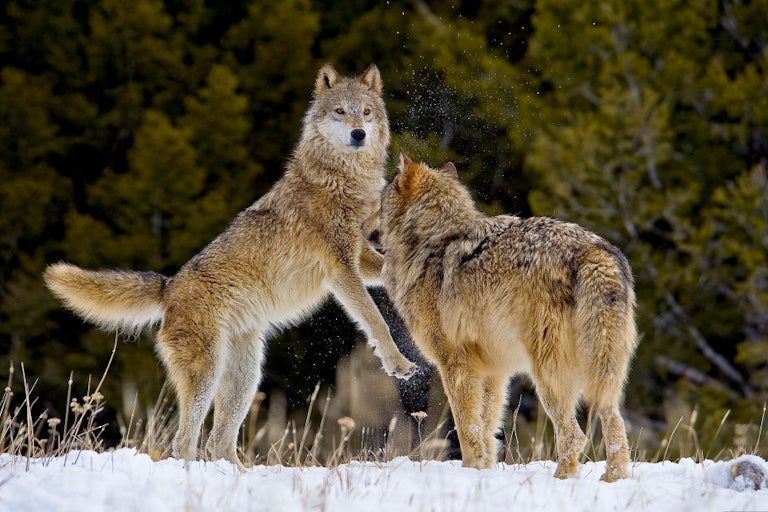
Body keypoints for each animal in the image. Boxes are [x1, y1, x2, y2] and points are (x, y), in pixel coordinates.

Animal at [44, 64, 418, 470]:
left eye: (366, 112)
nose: (359, 133)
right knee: (185, 441)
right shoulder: (342, 269)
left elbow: (389, 270)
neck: (341, 181)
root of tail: (169, 285)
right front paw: (399, 364)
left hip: (245, 378)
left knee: (219, 442)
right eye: (340, 112)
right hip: (207, 377)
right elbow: (377, 322)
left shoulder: (361, 257)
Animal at [378, 154, 638, 481]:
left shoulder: (456, 366)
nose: (362, 226)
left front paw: (470, 468)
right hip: (604, 377)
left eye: (380, 200)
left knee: (573, 436)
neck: (431, 242)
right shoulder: (495, 372)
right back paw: (613, 479)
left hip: (548, 378)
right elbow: (488, 428)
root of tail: (593, 252)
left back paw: (561, 480)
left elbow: (467, 427)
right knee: (615, 428)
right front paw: (484, 470)